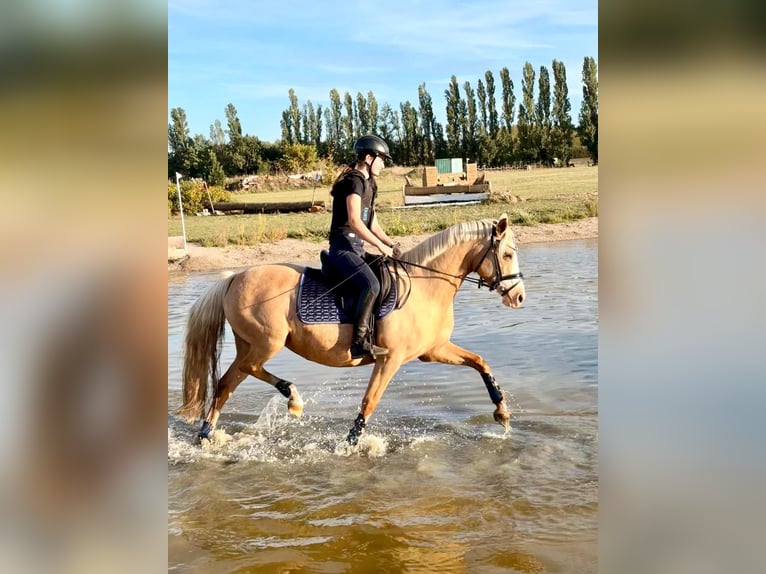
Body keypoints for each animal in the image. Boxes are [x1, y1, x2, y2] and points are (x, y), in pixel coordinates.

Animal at [177, 213, 526, 444]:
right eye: (507, 254)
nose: (519, 296)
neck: (425, 284)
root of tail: (235, 277)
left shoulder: (434, 350)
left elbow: (480, 362)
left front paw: (502, 412)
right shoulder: (390, 359)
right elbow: (369, 401)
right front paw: (351, 444)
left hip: (250, 344)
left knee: (227, 384)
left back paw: (210, 434)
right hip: (266, 343)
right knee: (243, 373)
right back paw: (290, 398)